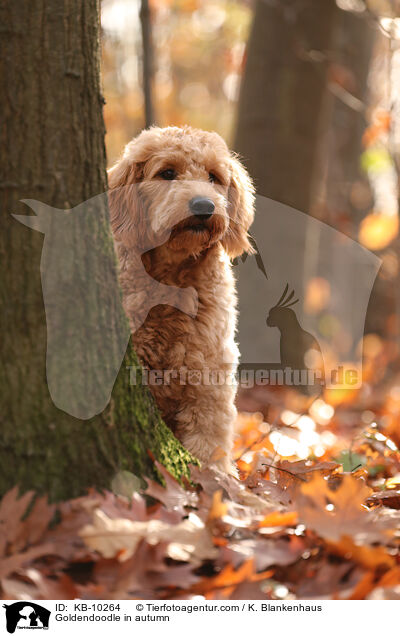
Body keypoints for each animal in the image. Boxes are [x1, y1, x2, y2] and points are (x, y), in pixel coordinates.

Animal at [108, 125, 255, 472]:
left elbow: (207, 442)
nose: (203, 206)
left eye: (214, 176)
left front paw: (217, 479)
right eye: (167, 173)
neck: (170, 276)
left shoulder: (208, 381)